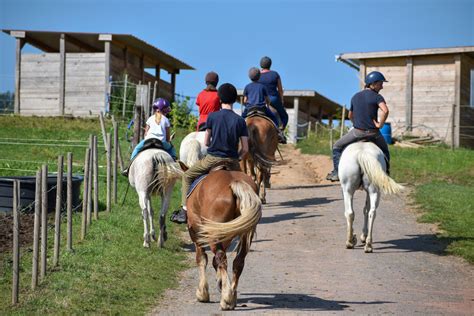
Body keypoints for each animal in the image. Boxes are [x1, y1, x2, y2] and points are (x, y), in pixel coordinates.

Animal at [184, 169, 262, 310]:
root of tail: (234, 182)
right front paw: (220, 283)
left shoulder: (197, 233)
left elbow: (202, 259)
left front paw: (202, 293)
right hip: (245, 233)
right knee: (238, 261)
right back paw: (231, 295)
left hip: (213, 233)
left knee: (221, 259)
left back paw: (226, 299)